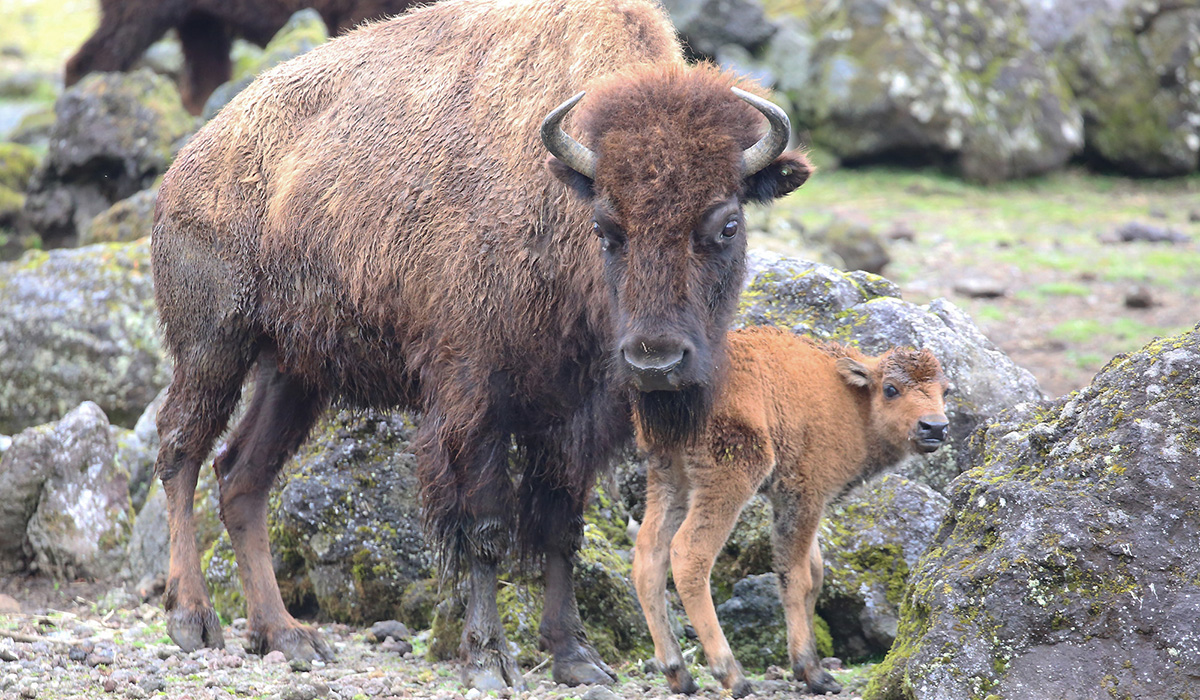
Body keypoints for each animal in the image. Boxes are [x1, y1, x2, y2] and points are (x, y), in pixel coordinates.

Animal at [147, 0, 806, 691]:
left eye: (727, 224)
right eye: (605, 225)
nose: (657, 359)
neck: (559, 199)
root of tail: (184, 169)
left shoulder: (576, 418)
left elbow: (559, 529)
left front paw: (576, 657)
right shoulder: (473, 405)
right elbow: (485, 530)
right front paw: (488, 658)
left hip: (293, 375)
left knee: (240, 477)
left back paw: (286, 635)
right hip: (214, 347)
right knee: (180, 450)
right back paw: (192, 619)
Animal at [633, 326, 950, 696]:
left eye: (945, 390)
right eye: (890, 389)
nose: (934, 427)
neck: (854, 400)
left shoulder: (796, 504)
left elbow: (815, 574)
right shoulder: (804, 495)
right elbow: (797, 577)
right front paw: (813, 672)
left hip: (669, 477)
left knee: (649, 552)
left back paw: (677, 673)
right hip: (730, 476)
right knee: (688, 555)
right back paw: (732, 675)